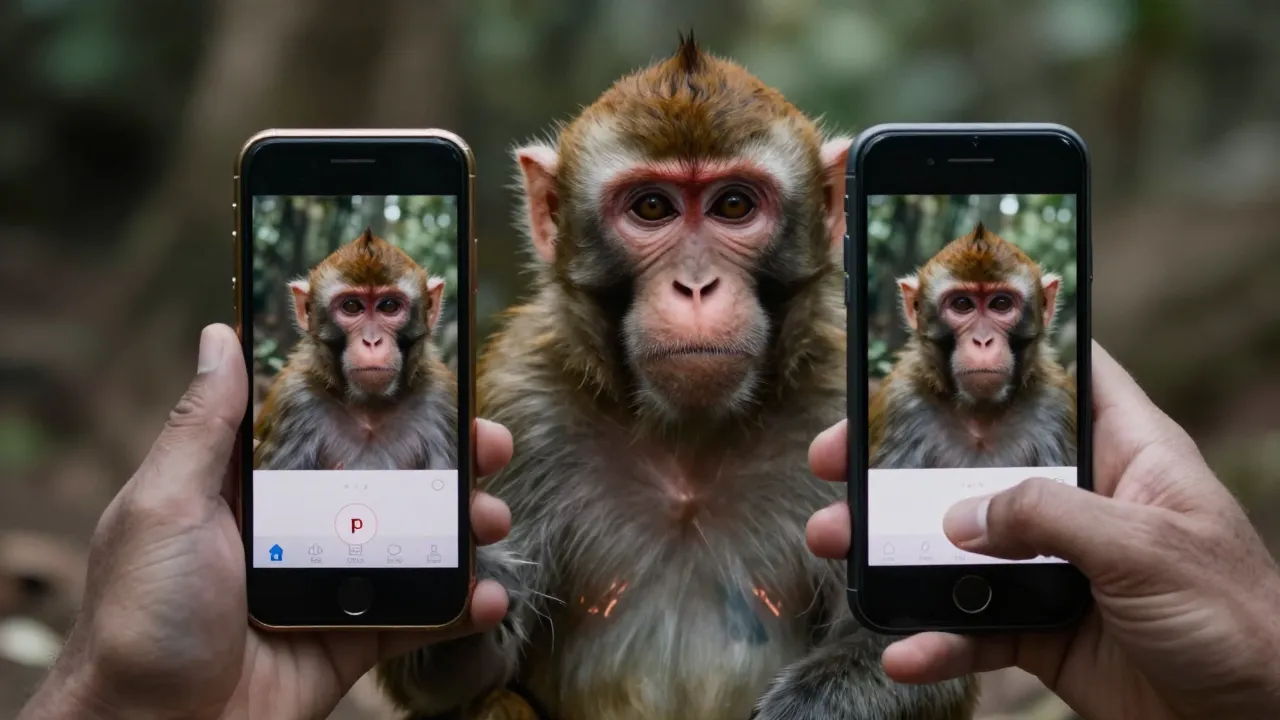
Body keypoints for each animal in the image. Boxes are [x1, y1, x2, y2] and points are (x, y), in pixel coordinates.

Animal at [252, 227, 457, 472]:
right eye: (351, 306)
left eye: (389, 306)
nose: (372, 341)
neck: (370, 409)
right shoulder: (295, 399)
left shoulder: (441, 398)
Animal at [377, 35, 977, 720]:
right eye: (653, 207)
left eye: (734, 205)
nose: (694, 285)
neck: (689, 439)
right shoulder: (519, 404)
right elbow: (446, 680)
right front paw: (474, 573)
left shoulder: (846, 406)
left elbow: (919, 647)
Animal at [868, 221, 1076, 469]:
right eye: (962, 304)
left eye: (1001, 303)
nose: (982, 341)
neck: (981, 417)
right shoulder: (902, 402)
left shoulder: (1055, 404)